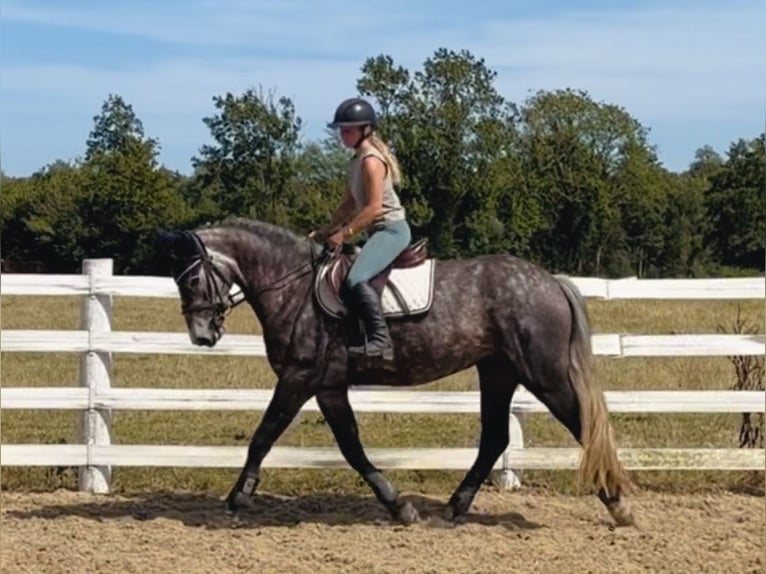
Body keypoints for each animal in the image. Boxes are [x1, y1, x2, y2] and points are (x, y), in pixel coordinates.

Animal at [154, 216, 635, 527]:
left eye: (191, 280)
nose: (202, 335)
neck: (294, 287)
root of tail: (551, 282)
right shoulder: (328, 387)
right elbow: (351, 448)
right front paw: (399, 507)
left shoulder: (298, 379)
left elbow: (263, 437)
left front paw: (237, 499)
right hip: (498, 371)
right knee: (495, 438)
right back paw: (455, 508)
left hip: (543, 375)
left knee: (581, 425)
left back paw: (618, 505)